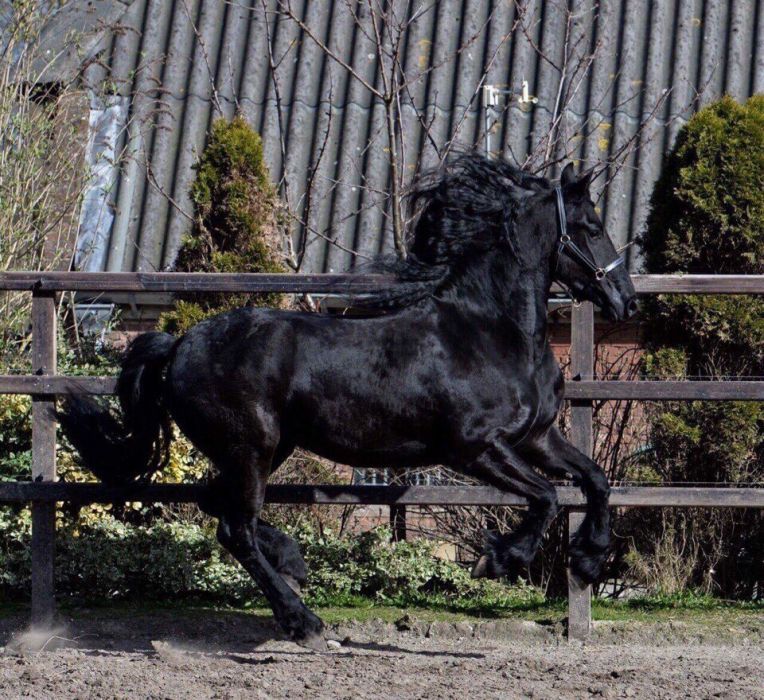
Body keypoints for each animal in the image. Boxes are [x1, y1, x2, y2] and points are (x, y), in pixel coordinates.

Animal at [59, 154, 637, 650]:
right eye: (590, 226)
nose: (626, 301)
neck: (488, 330)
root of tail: (178, 344)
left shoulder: (536, 437)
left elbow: (595, 480)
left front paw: (588, 560)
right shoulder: (474, 449)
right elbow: (546, 496)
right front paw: (499, 560)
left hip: (267, 448)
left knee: (214, 504)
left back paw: (293, 563)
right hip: (251, 448)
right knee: (234, 527)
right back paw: (305, 622)